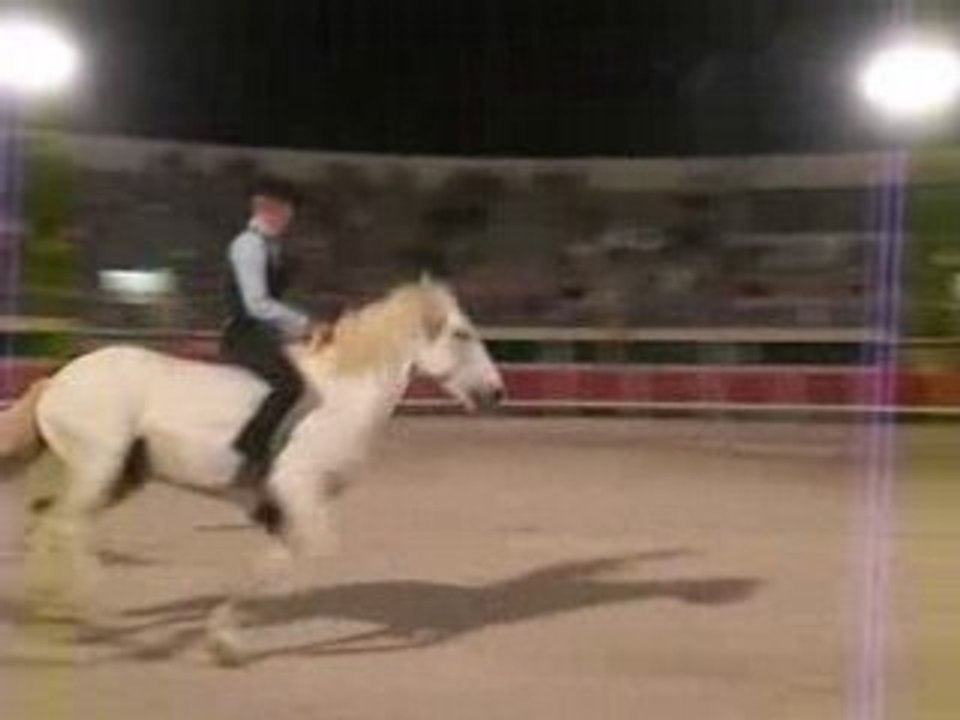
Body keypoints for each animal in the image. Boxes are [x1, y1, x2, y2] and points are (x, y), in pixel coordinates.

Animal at [0, 277, 505, 664]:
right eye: (462, 334)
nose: (496, 393)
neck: (338, 400)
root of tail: (56, 381)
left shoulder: (282, 507)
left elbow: (273, 565)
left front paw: (224, 639)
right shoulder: (298, 495)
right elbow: (288, 565)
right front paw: (225, 642)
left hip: (121, 476)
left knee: (49, 519)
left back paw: (52, 611)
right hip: (99, 467)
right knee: (66, 525)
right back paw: (94, 614)